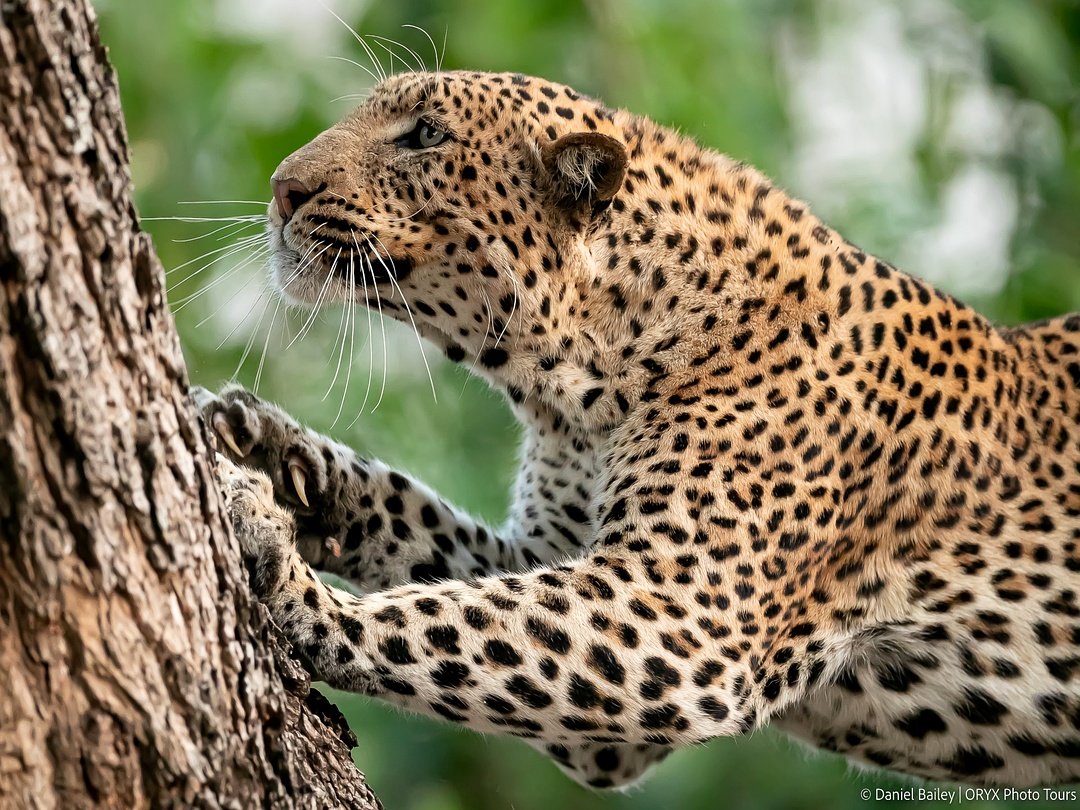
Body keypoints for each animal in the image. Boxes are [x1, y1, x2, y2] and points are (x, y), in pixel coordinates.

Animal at [193, 69, 1080, 791]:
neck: (572, 388)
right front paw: (271, 451)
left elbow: (435, 618)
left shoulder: (682, 618)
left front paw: (279, 564)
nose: (282, 188)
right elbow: (427, 543)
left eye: (425, 136)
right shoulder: (568, 574)